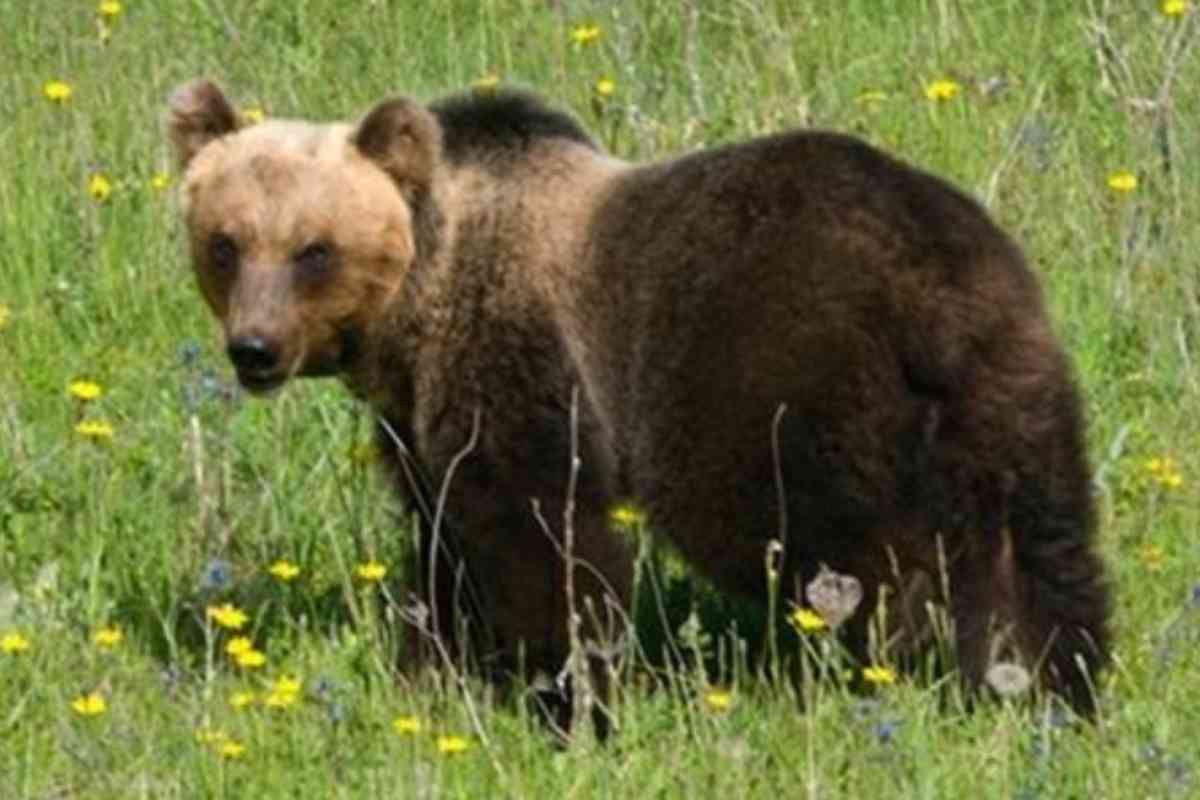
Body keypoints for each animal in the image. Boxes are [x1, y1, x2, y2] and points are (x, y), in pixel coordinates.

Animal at [167, 79, 1110, 721]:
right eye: (225, 242)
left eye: (313, 249)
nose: (254, 348)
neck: (422, 297)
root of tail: (939, 283)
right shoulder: (417, 420)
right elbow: (440, 541)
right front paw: (433, 667)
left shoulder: (521, 358)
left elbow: (540, 533)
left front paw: (561, 689)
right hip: (1010, 382)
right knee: (1040, 544)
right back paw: (1052, 679)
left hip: (775, 382)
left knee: (855, 546)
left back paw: (896, 666)